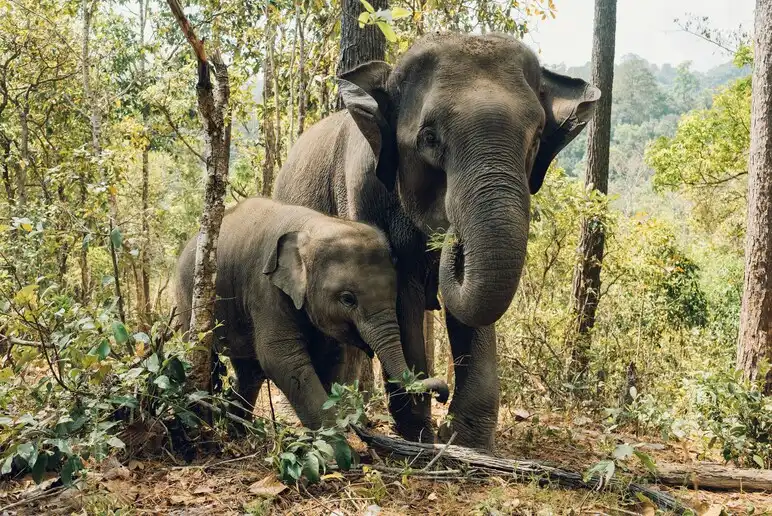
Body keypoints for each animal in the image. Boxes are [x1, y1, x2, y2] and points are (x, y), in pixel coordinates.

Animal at [175, 197, 449, 430]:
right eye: (348, 299)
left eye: (394, 294)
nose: (442, 395)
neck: (312, 226)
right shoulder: (265, 288)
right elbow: (281, 358)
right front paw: (337, 447)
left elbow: (330, 357)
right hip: (188, 299)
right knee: (207, 357)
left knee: (249, 372)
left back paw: (238, 430)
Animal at [273, 32, 600, 449]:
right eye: (429, 138)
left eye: (537, 139)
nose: (451, 236)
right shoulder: (362, 192)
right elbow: (401, 294)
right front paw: (420, 435)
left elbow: (472, 308)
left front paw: (466, 441)